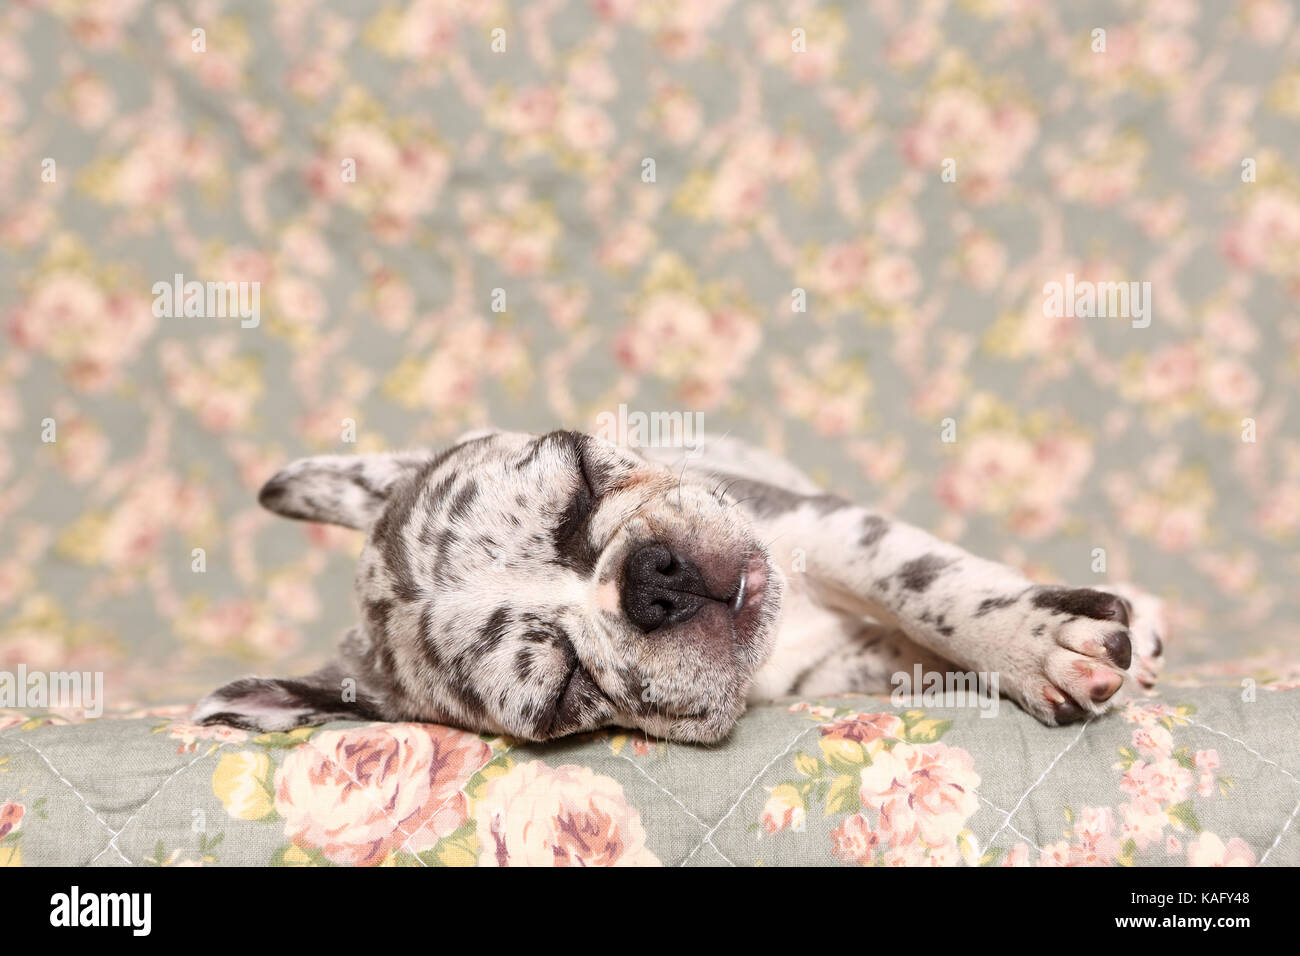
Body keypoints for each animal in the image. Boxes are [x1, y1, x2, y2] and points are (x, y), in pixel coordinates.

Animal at [195, 429, 1170, 743]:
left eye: (581, 478)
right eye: (564, 689)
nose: (652, 585)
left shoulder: (820, 525)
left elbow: (924, 580)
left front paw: (1033, 639)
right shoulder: (846, 665)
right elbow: (915, 648)